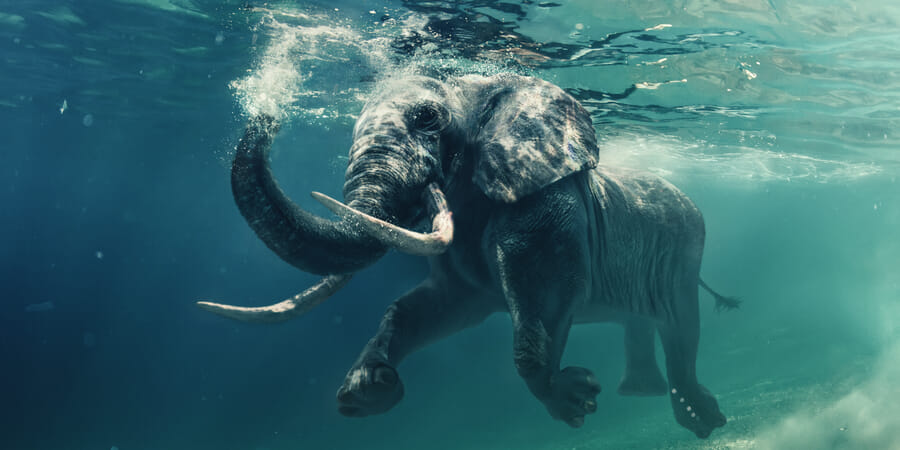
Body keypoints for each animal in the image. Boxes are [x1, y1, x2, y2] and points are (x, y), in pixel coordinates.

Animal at [198, 73, 740, 438]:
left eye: (427, 119)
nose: (269, 114)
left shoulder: (545, 202)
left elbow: (544, 292)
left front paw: (575, 400)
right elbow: (432, 306)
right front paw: (367, 392)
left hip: (685, 250)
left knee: (681, 326)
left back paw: (701, 420)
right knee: (642, 321)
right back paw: (642, 394)